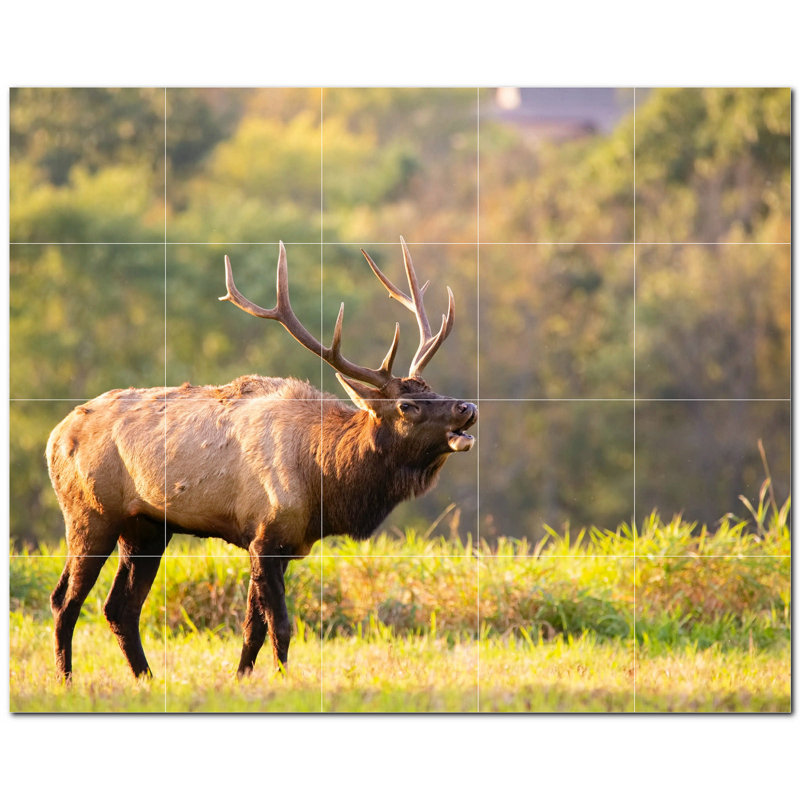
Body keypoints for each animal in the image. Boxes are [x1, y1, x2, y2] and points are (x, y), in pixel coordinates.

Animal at [47, 237, 477, 681]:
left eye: (432, 387)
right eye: (407, 405)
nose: (467, 407)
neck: (324, 483)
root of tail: (55, 436)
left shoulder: (283, 544)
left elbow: (253, 627)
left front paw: (242, 677)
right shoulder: (265, 535)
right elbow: (281, 625)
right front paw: (282, 679)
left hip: (146, 527)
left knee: (120, 608)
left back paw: (146, 678)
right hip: (89, 513)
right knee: (65, 600)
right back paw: (66, 679)